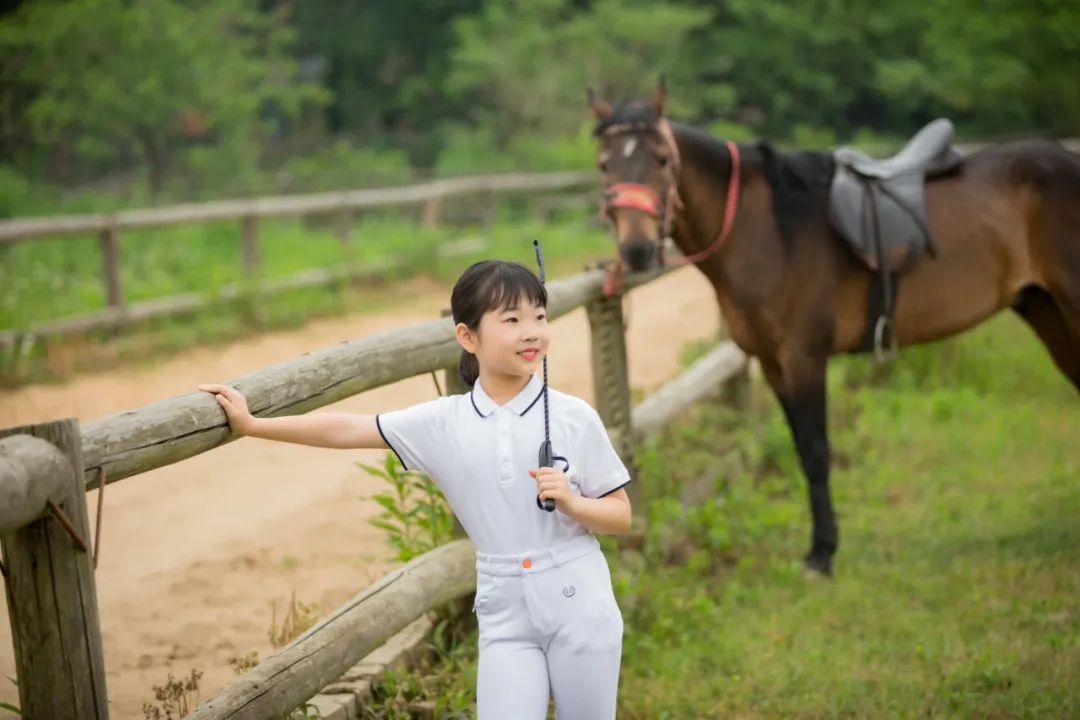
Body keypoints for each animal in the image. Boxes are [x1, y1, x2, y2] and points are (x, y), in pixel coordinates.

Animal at [591, 78, 1080, 574]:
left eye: (662, 159)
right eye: (605, 164)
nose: (636, 250)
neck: (766, 230)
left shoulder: (804, 356)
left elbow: (816, 451)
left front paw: (822, 553)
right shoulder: (772, 362)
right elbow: (802, 447)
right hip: (1044, 310)